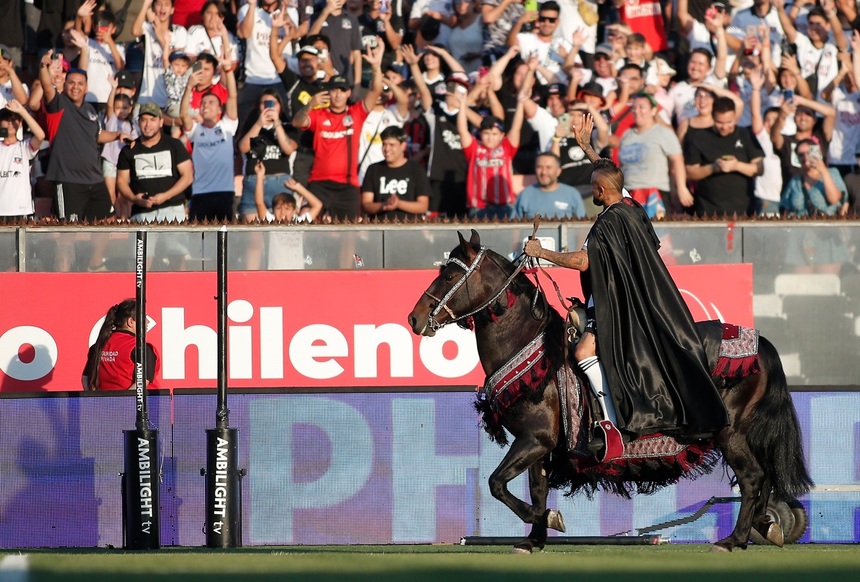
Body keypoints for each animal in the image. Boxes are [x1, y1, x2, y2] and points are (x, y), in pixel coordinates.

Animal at [410, 230, 812, 556]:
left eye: (449, 274)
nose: (415, 318)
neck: (528, 344)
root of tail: (760, 344)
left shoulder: (534, 438)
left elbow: (497, 484)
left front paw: (549, 519)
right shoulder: (538, 443)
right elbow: (535, 488)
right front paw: (534, 538)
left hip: (731, 432)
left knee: (753, 478)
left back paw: (733, 540)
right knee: (763, 477)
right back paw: (765, 526)